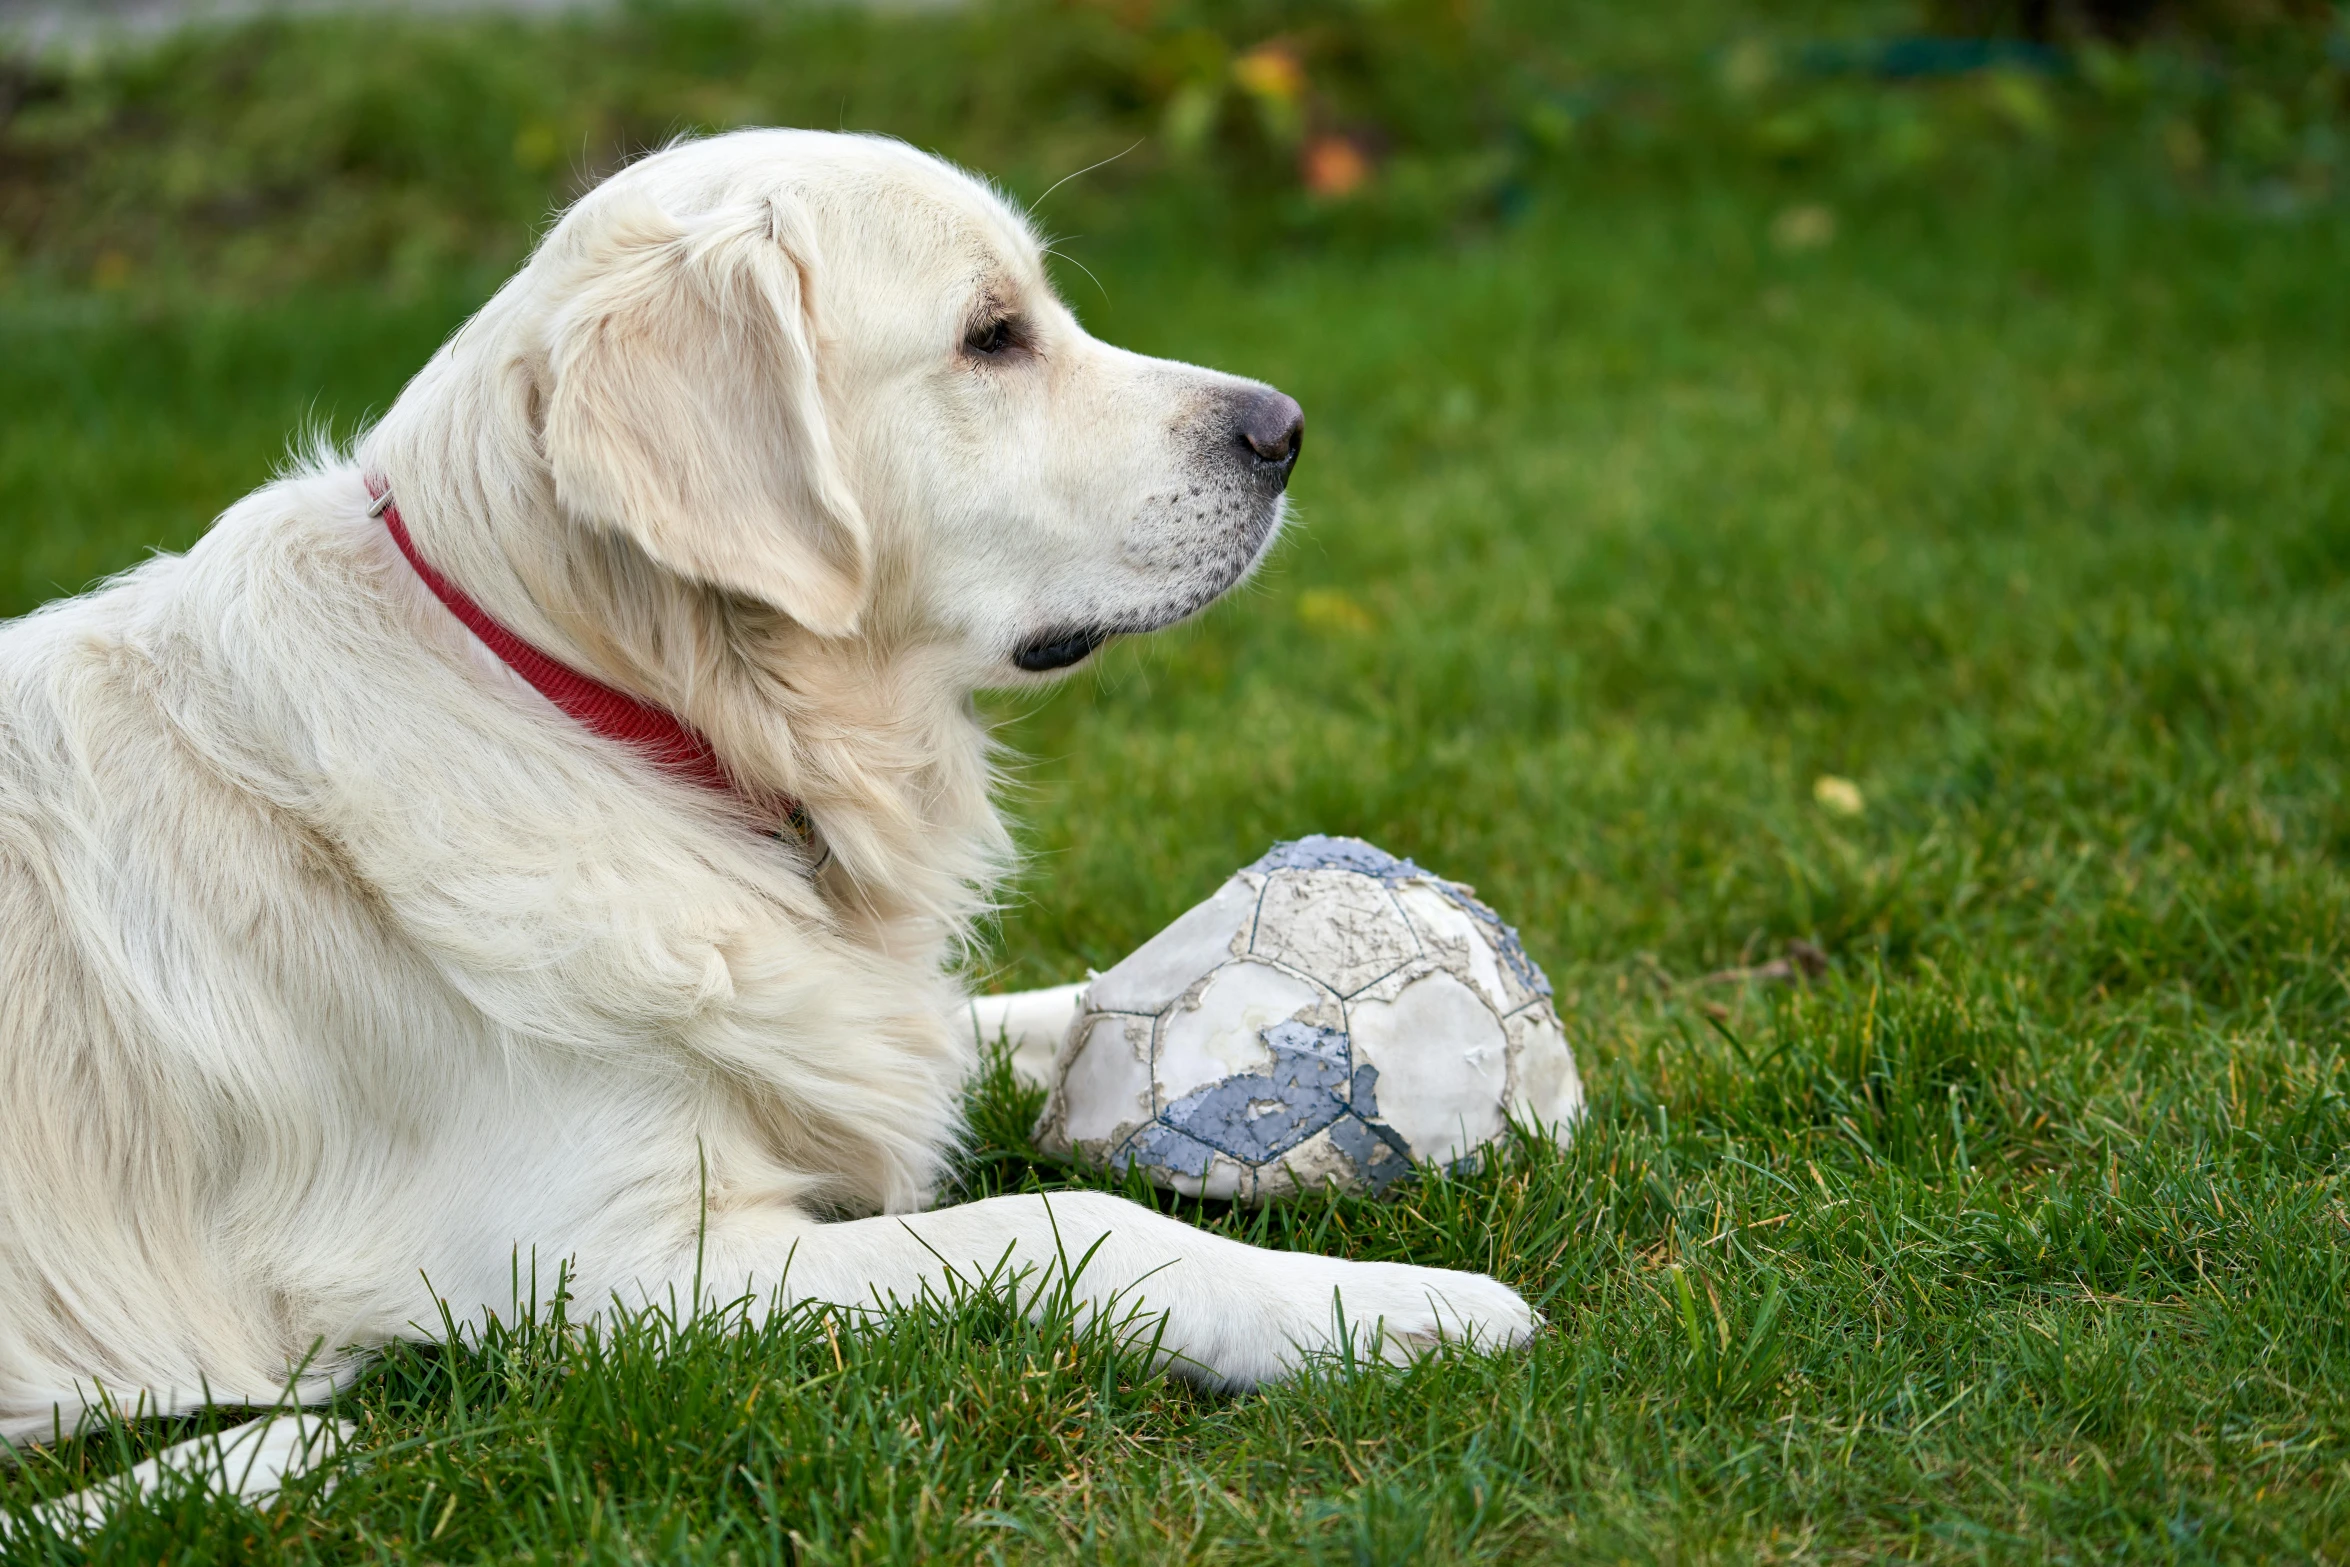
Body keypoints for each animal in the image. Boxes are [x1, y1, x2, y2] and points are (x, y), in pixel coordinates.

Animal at [0, 131, 1532, 1503]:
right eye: (990, 336)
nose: (1285, 428)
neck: (612, 720)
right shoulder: (607, 1277)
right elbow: (1062, 1218)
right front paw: (1382, 1306)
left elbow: (1071, 1007)